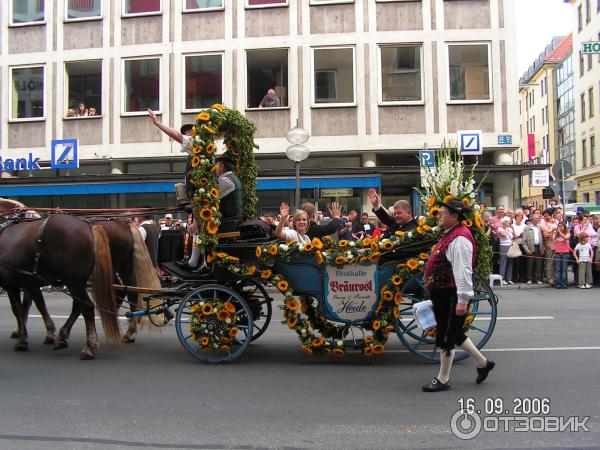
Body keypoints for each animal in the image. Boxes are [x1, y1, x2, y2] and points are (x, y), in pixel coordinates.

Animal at [0, 213, 122, 360]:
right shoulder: (29, 282)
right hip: (75, 282)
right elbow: (34, 305)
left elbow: (18, 310)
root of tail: (88, 225)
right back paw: (63, 336)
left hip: (74, 281)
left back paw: (89, 347)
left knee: (86, 306)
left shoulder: (11, 284)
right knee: (78, 305)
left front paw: (22, 340)